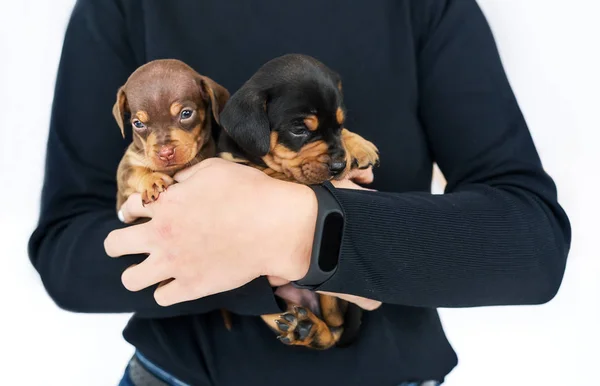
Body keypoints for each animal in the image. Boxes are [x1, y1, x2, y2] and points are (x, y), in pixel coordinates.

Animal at [112, 58, 230, 210]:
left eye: (186, 114)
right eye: (138, 124)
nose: (165, 153)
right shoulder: (127, 166)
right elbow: (133, 172)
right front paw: (151, 182)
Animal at [218, 53, 380, 350]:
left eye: (339, 124)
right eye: (298, 129)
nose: (339, 166)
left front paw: (357, 146)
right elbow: (270, 171)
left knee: (335, 324)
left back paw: (309, 329)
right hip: (270, 306)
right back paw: (304, 329)